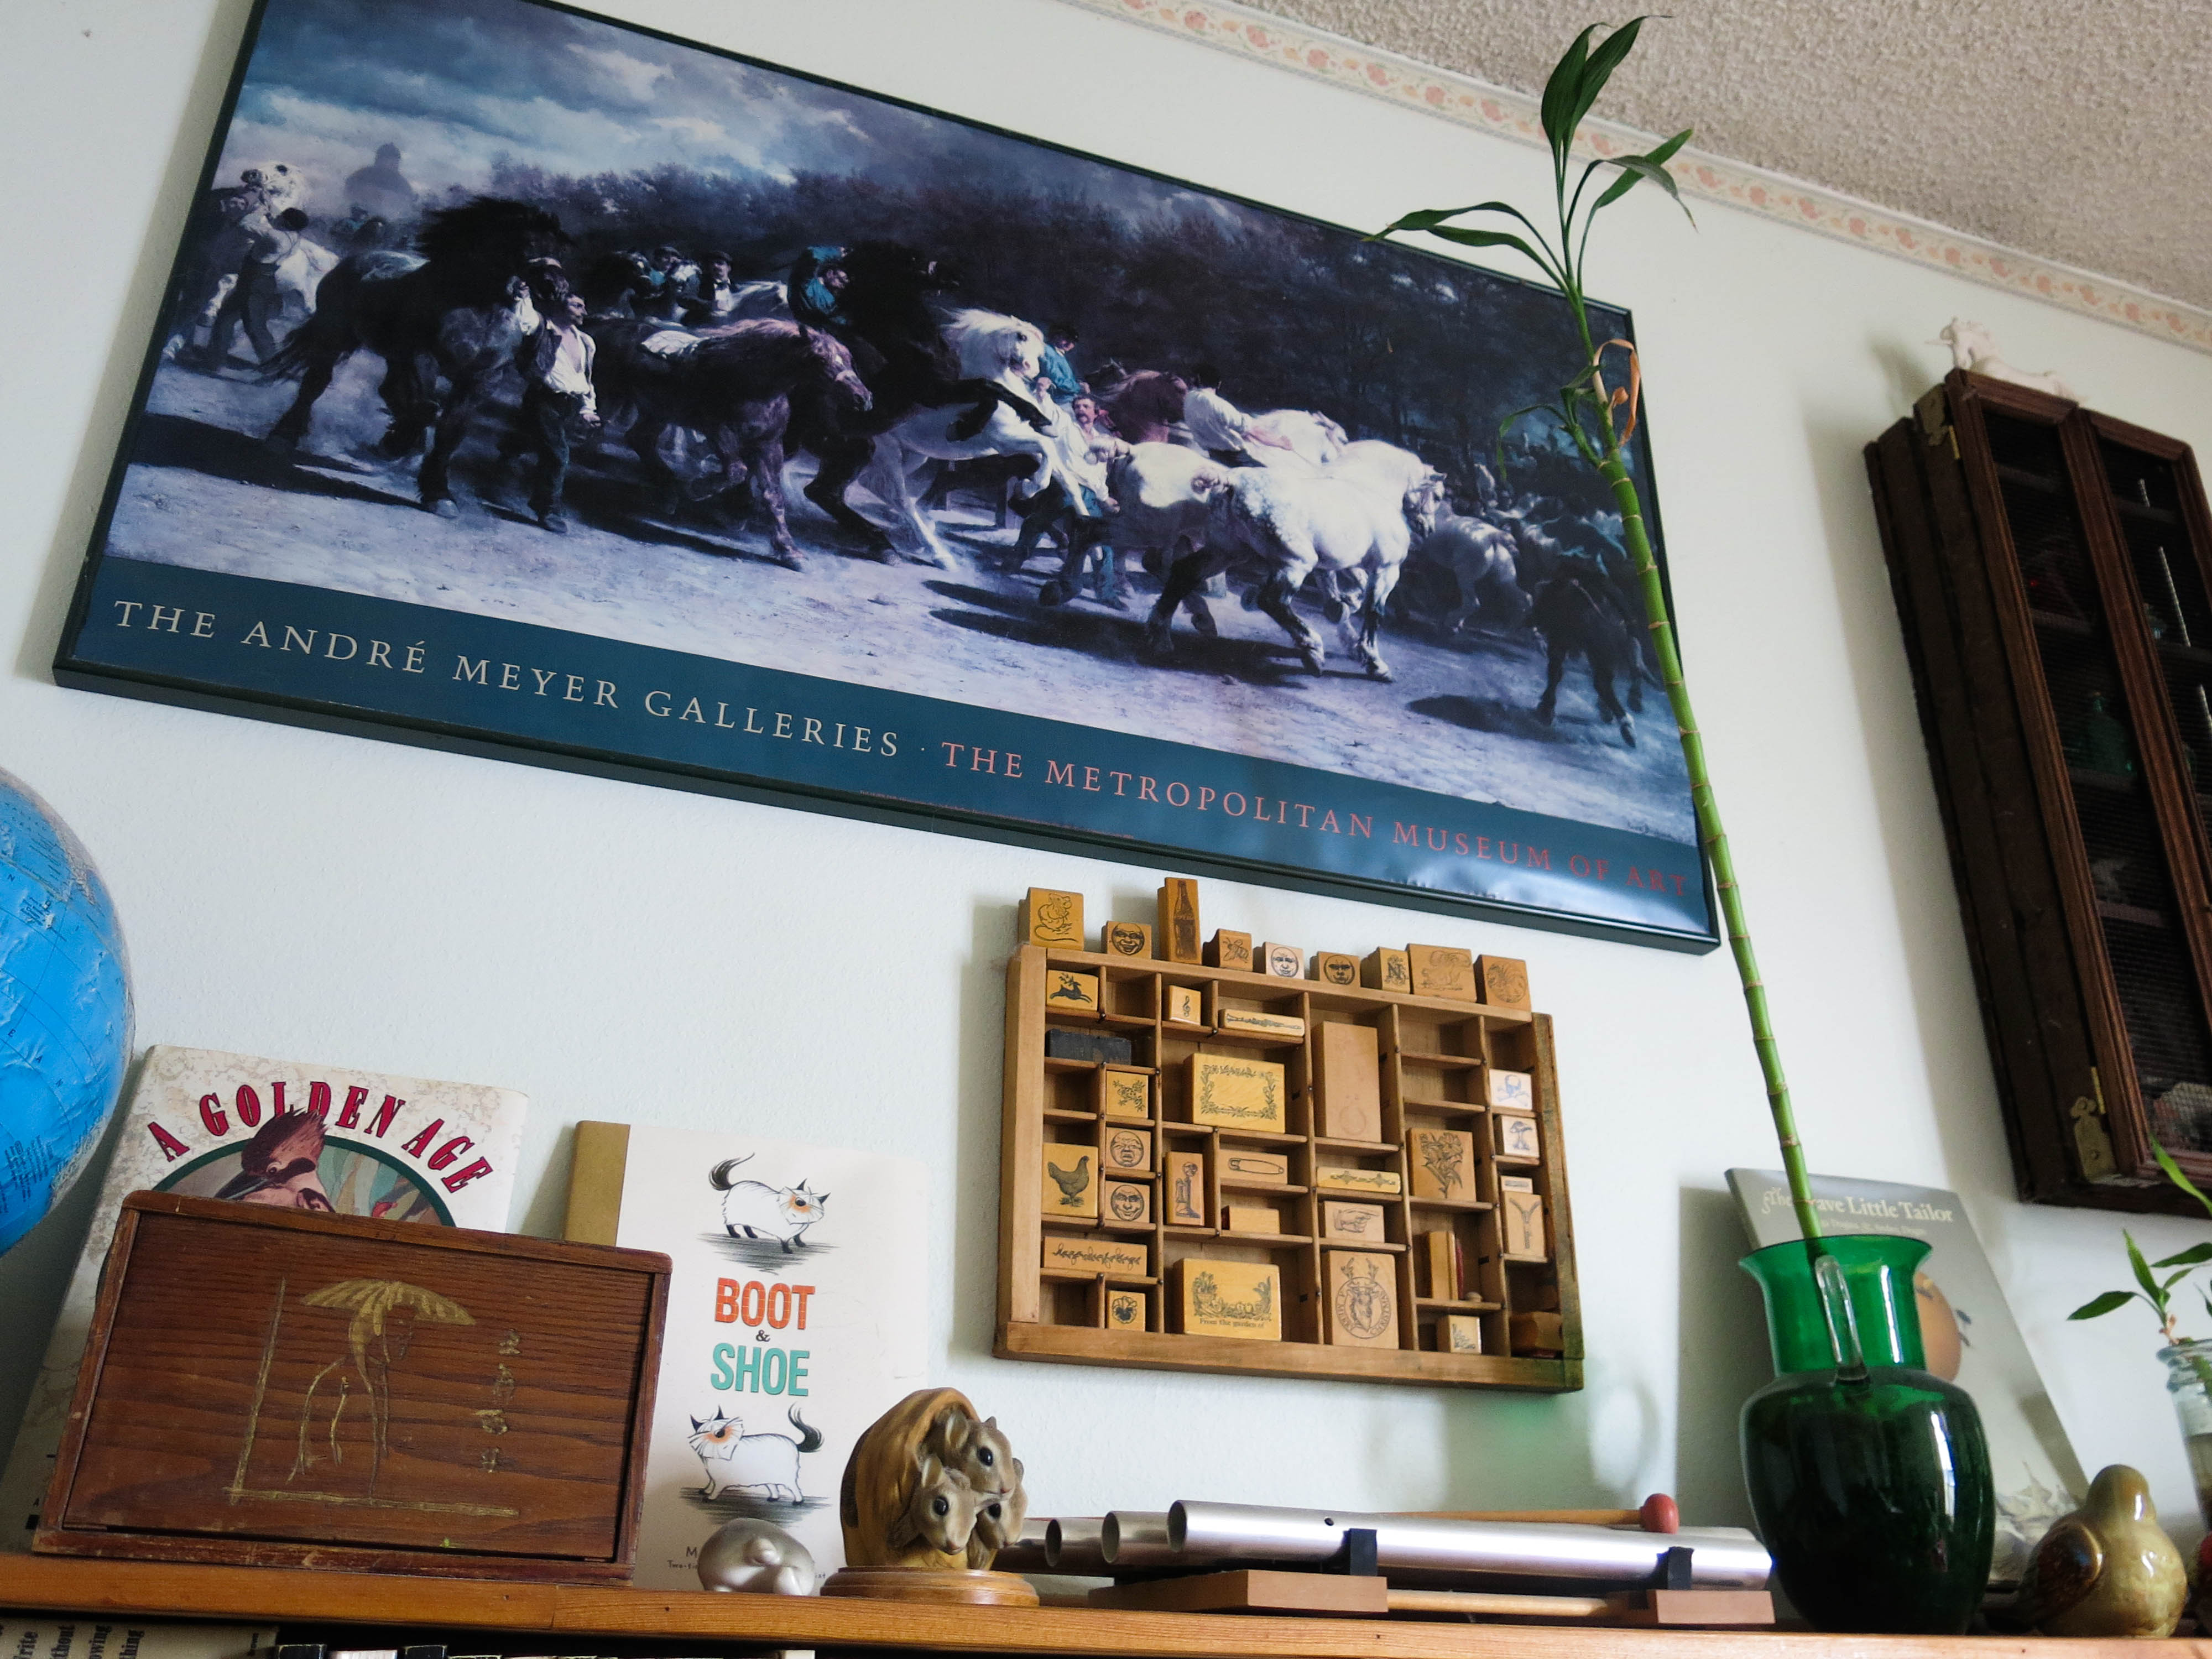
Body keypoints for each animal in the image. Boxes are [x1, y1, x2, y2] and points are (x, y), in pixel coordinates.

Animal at [261, 197, 567, 514]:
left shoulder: (483, 379)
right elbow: (428, 409)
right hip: (337, 338)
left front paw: (438, 491)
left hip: (395, 356)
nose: (557, 287)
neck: (478, 307)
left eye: (558, 250)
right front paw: (399, 445)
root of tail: (355, 261)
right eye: (528, 243)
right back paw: (283, 438)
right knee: (316, 384)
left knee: (390, 391)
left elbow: (451, 429)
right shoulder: (423, 358)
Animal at [591, 317, 871, 568]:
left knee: (641, 439)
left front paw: (790, 551)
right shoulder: (720, 432)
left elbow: (773, 496)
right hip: (608, 397)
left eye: (849, 360)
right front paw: (697, 489)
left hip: (657, 410)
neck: (753, 385)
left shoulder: (769, 445)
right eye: (820, 359)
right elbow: (737, 471)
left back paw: (668, 491)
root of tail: (600, 325)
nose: (863, 398)